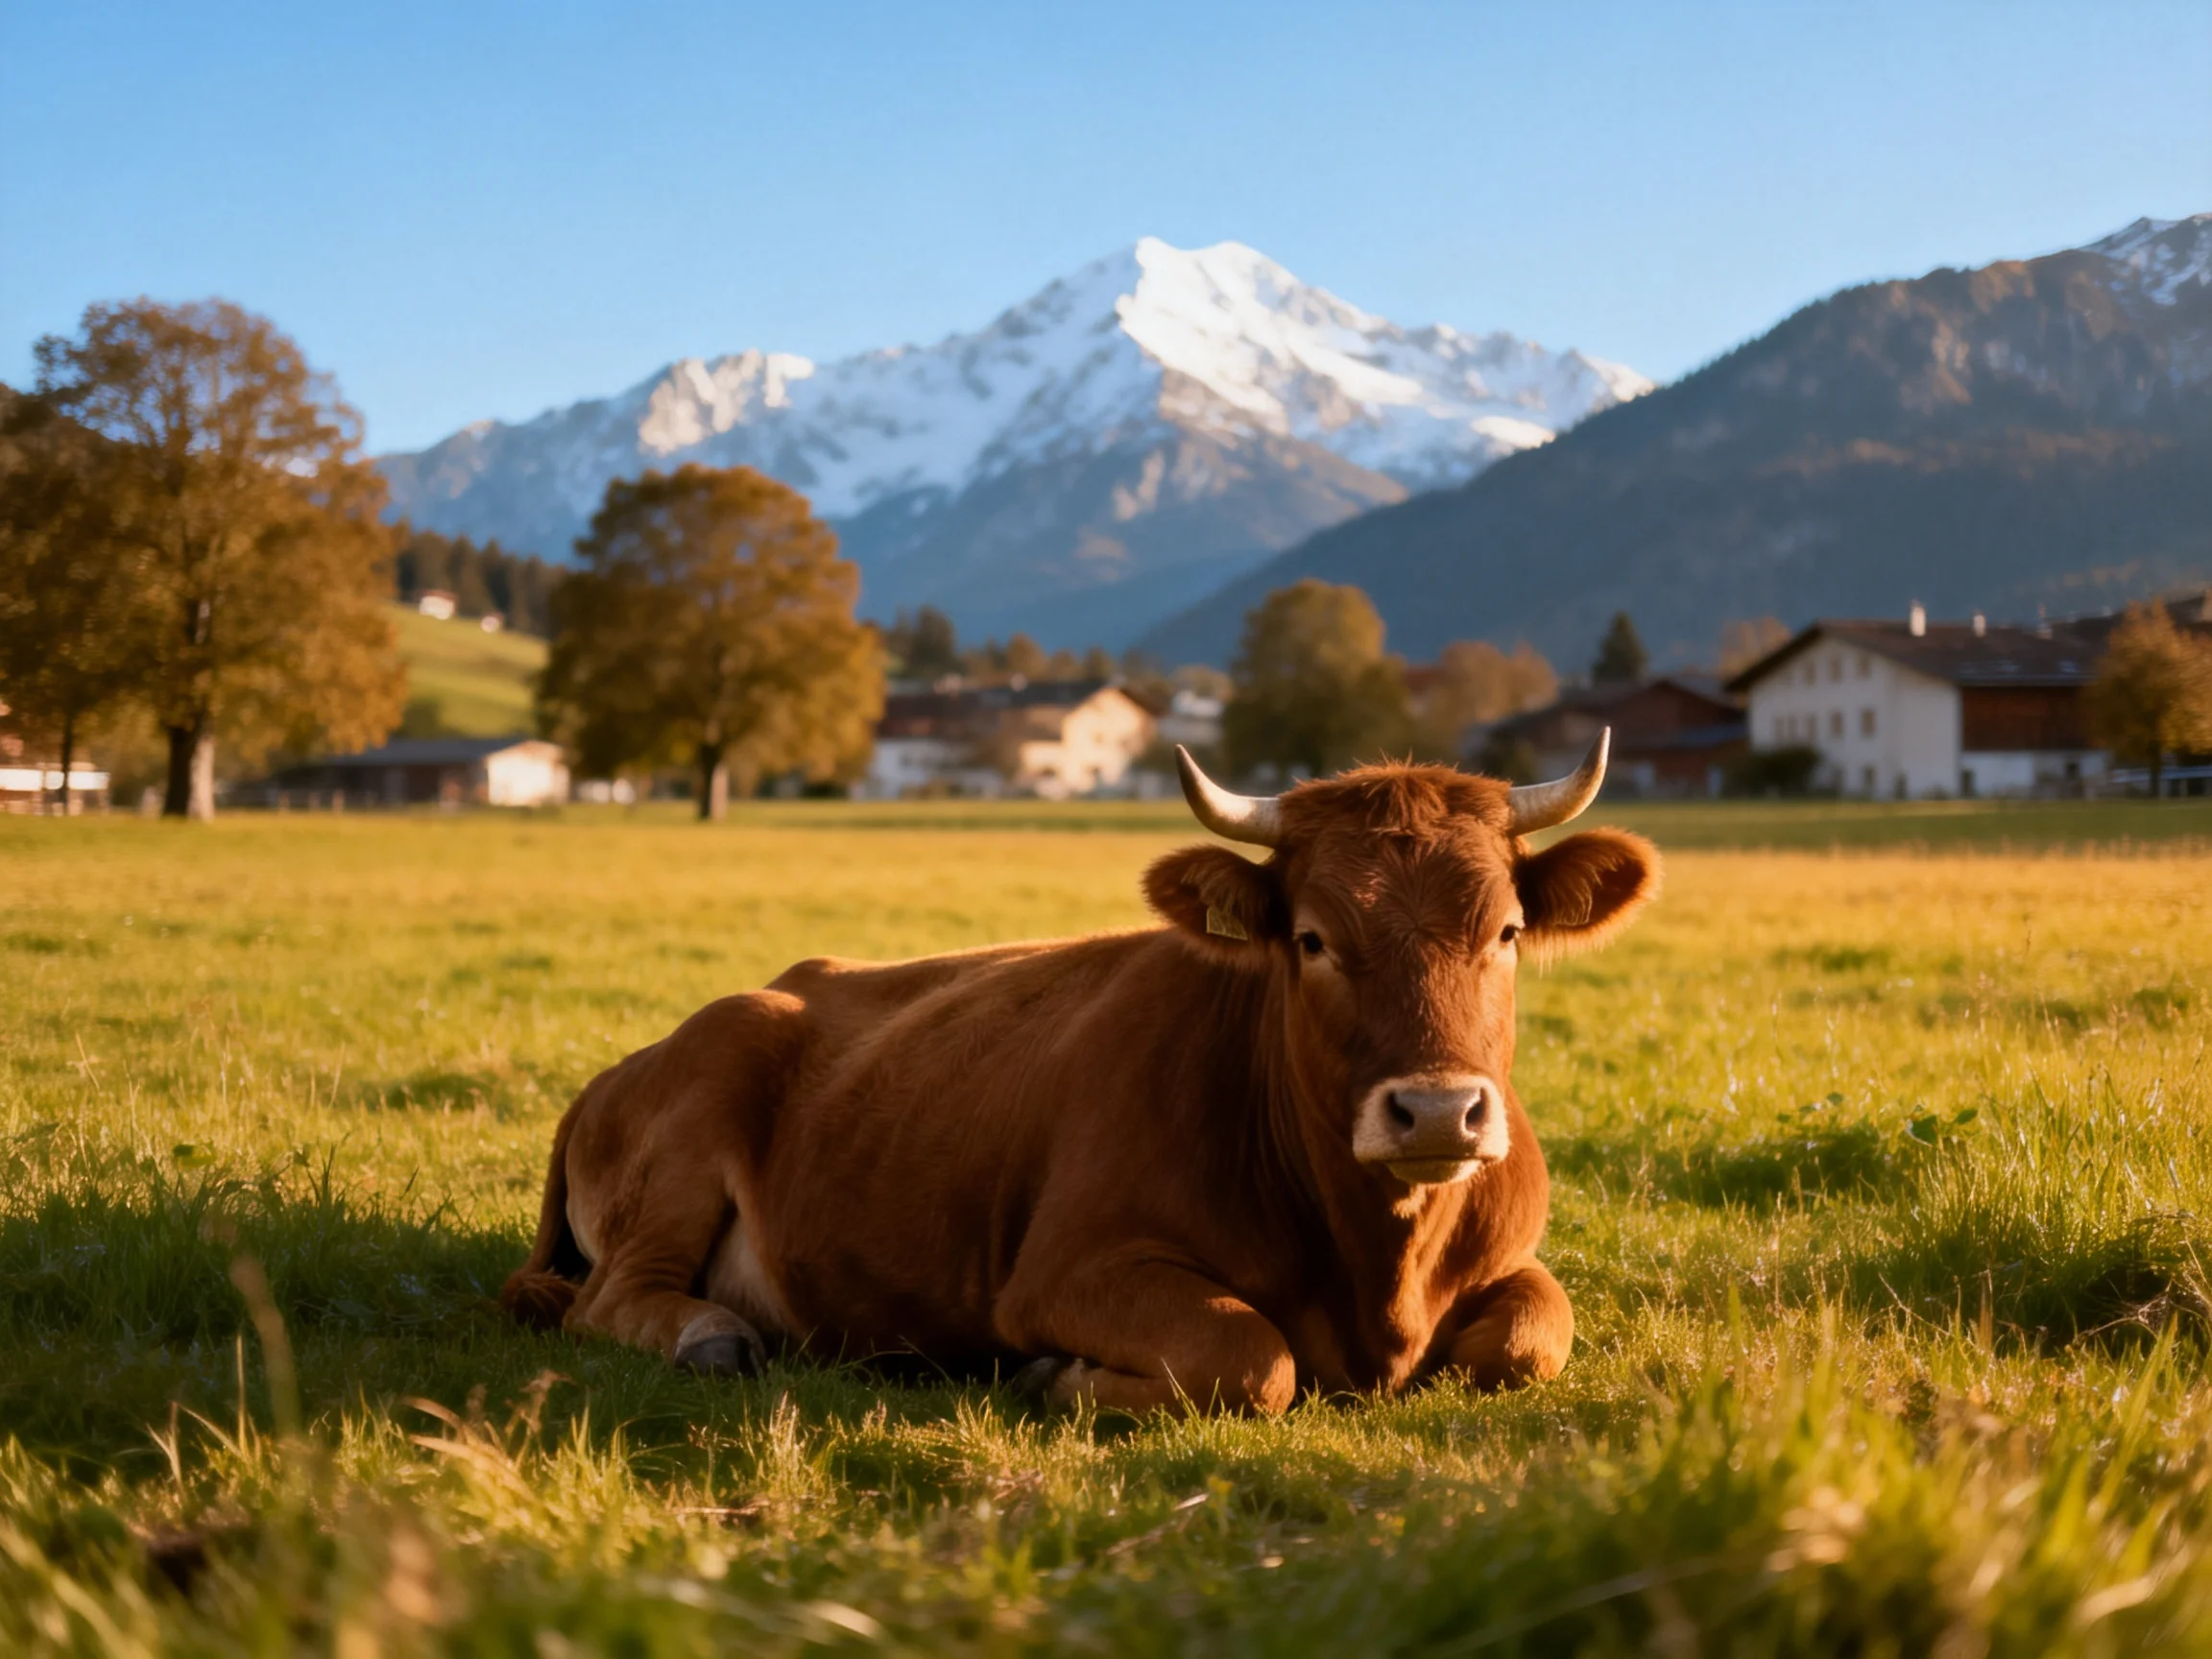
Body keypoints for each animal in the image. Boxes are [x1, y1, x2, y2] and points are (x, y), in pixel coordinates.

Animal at [500, 735, 1658, 1413]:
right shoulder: (1064, 1270)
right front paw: (1060, 1377)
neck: (1382, 1270)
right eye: (1314, 939)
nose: (1437, 1112)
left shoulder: (1514, 1261)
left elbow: (1528, 1340)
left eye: (1506, 932)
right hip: (698, 1111)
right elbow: (1252, 1358)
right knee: (610, 1299)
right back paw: (711, 1336)